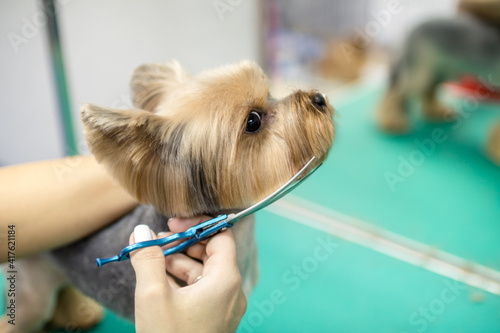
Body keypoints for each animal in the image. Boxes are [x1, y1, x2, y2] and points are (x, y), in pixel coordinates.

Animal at [376, 13, 500, 163]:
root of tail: (414, 26)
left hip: (439, 71)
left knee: (428, 90)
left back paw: (436, 111)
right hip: (419, 74)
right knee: (397, 91)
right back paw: (391, 119)